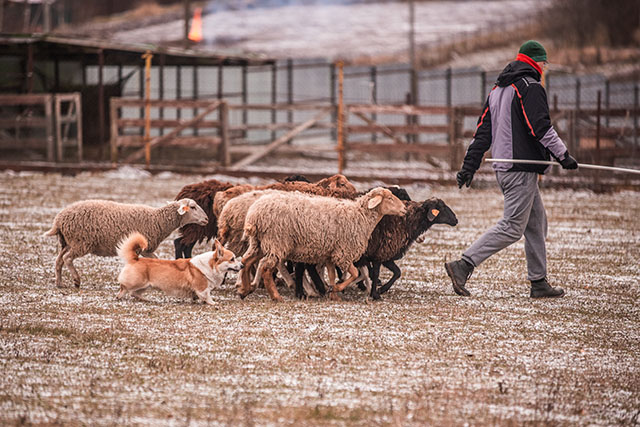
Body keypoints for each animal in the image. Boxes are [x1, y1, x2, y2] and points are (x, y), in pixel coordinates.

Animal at [43, 200, 208, 288]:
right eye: (193, 207)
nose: (206, 219)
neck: (158, 220)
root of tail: (59, 220)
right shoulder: (141, 247)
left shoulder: (147, 249)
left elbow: (155, 260)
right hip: (81, 242)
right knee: (67, 259)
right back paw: (76, 281)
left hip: (67, 242)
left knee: (58, 261)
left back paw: (59, 283)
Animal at [238, 189, 408, 302]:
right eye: (390, 198)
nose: (405, 209)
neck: (361, 216)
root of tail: (254, 215)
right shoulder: (343, 253)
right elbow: (354, 273)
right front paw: (337, 289)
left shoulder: (330, 254)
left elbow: (332, 275)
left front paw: (333, 294)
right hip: (277, 241)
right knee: (266, 268)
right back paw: (276, 296)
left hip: (258, 242)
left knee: (246, 261)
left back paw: (244, 290)